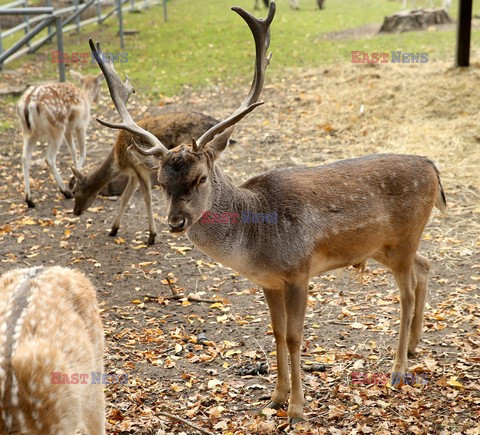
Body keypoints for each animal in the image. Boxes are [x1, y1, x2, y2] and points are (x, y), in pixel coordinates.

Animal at [17, 69, 103, 208]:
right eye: (100, 84)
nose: (99, 98)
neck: (86, 99)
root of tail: (29, 102)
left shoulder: (68, 130)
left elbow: (73, 151)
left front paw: (74, 176)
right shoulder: (81, 125)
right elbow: (83, 153)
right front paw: (72, 182)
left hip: (29, 131)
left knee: (25, 157)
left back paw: (29, 200)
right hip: (57, 127)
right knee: (49, 158)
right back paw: (65, 191)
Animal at [69, 110, 221, 247]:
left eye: (75, 191)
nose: (75, 211)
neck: (120, 162)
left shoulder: (139, 167)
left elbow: (147, 197)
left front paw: (151, 236)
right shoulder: (133, 174)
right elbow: (125, 196)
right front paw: (113, 229)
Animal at [91, 0, 446, 422]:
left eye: (200, 178)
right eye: (161, 182)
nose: (175, 222)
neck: (255, 243)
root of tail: (433, 167)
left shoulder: (298, 272)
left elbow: (294, 336)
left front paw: (297, 408)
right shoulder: (269, 282)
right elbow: (275, 332)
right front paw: (275, 398)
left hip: (404, 238)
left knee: (406, 293)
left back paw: (398, 369)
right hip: (385, 247)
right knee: (425, 266)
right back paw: (414, 346)